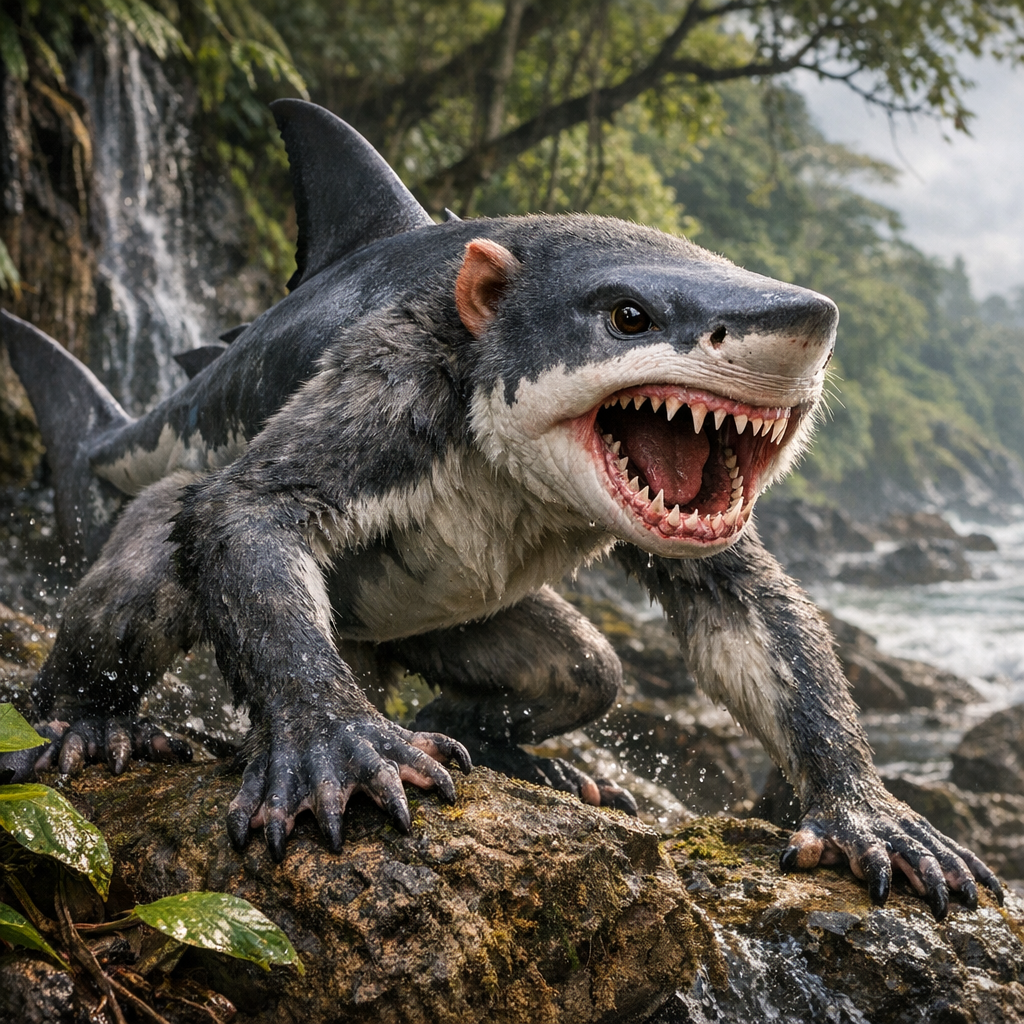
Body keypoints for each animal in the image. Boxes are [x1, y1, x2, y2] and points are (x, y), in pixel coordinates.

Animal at [0, 100, 1001, 921]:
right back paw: (87, 725)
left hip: (442, 635)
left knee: (585, 669)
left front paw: (868, 813)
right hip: (171, 527)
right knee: (152, 565)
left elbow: (764, 623)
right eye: (630, 315)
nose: (808, 328)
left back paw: (514, 758)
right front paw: (338, 743)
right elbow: (252, 505)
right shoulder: (396, 378)